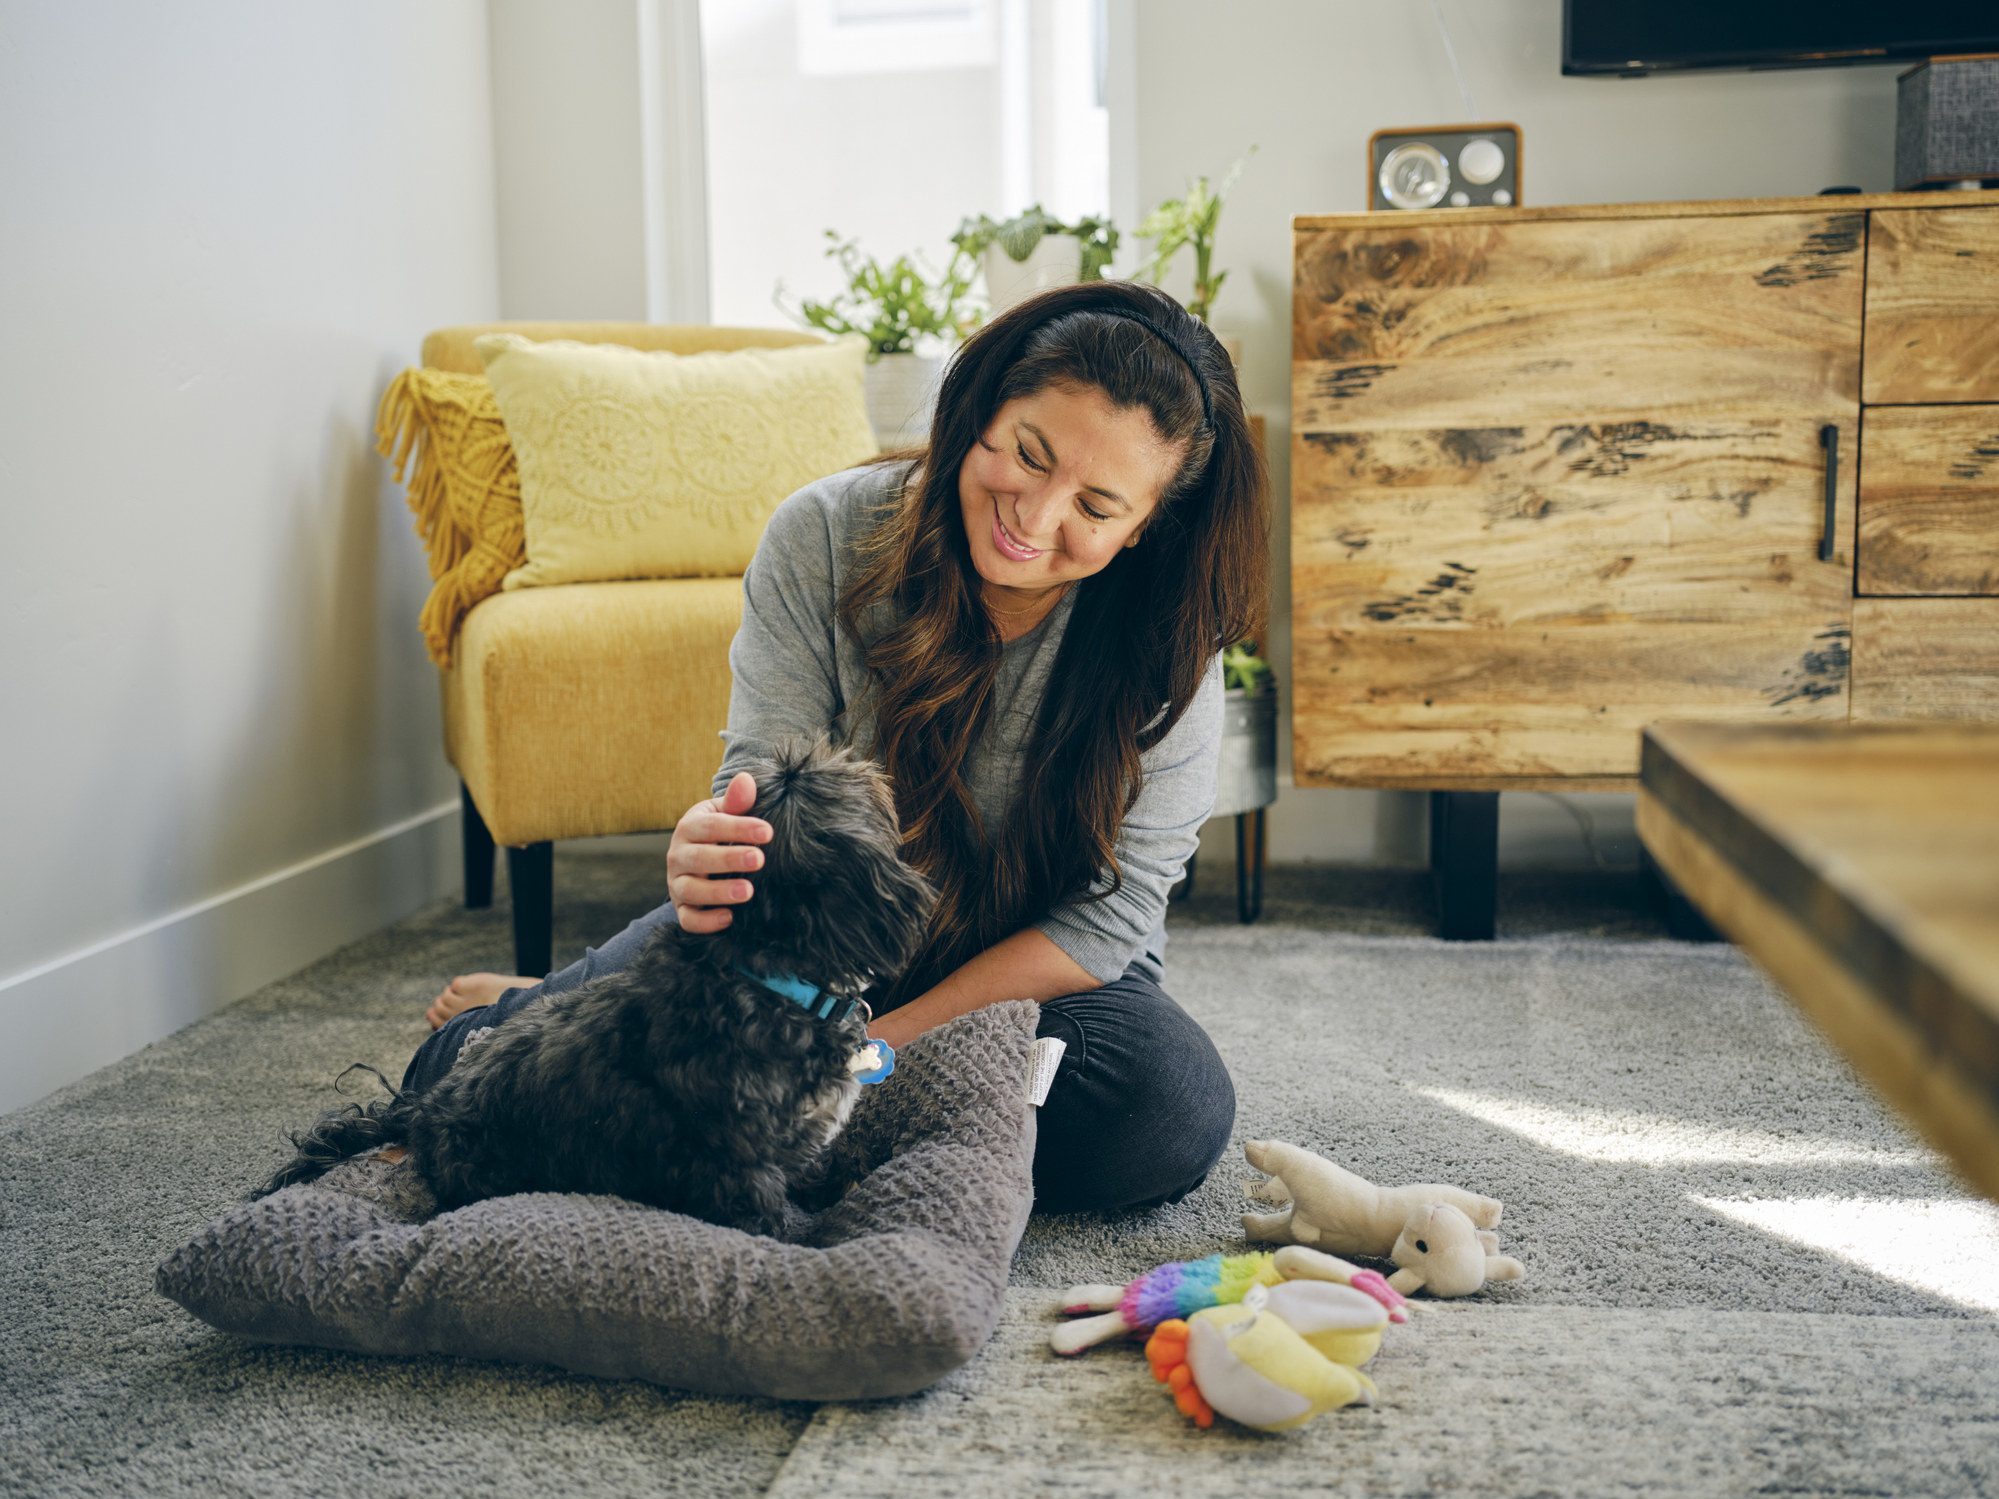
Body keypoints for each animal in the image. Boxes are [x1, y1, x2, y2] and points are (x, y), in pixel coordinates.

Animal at [261, 743, 939, 1247]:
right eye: (838, 775)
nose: (860, 755)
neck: (765, 974)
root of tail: (422, 1106)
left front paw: (831, 1183)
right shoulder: (735, 1169)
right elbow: (769, 1220)